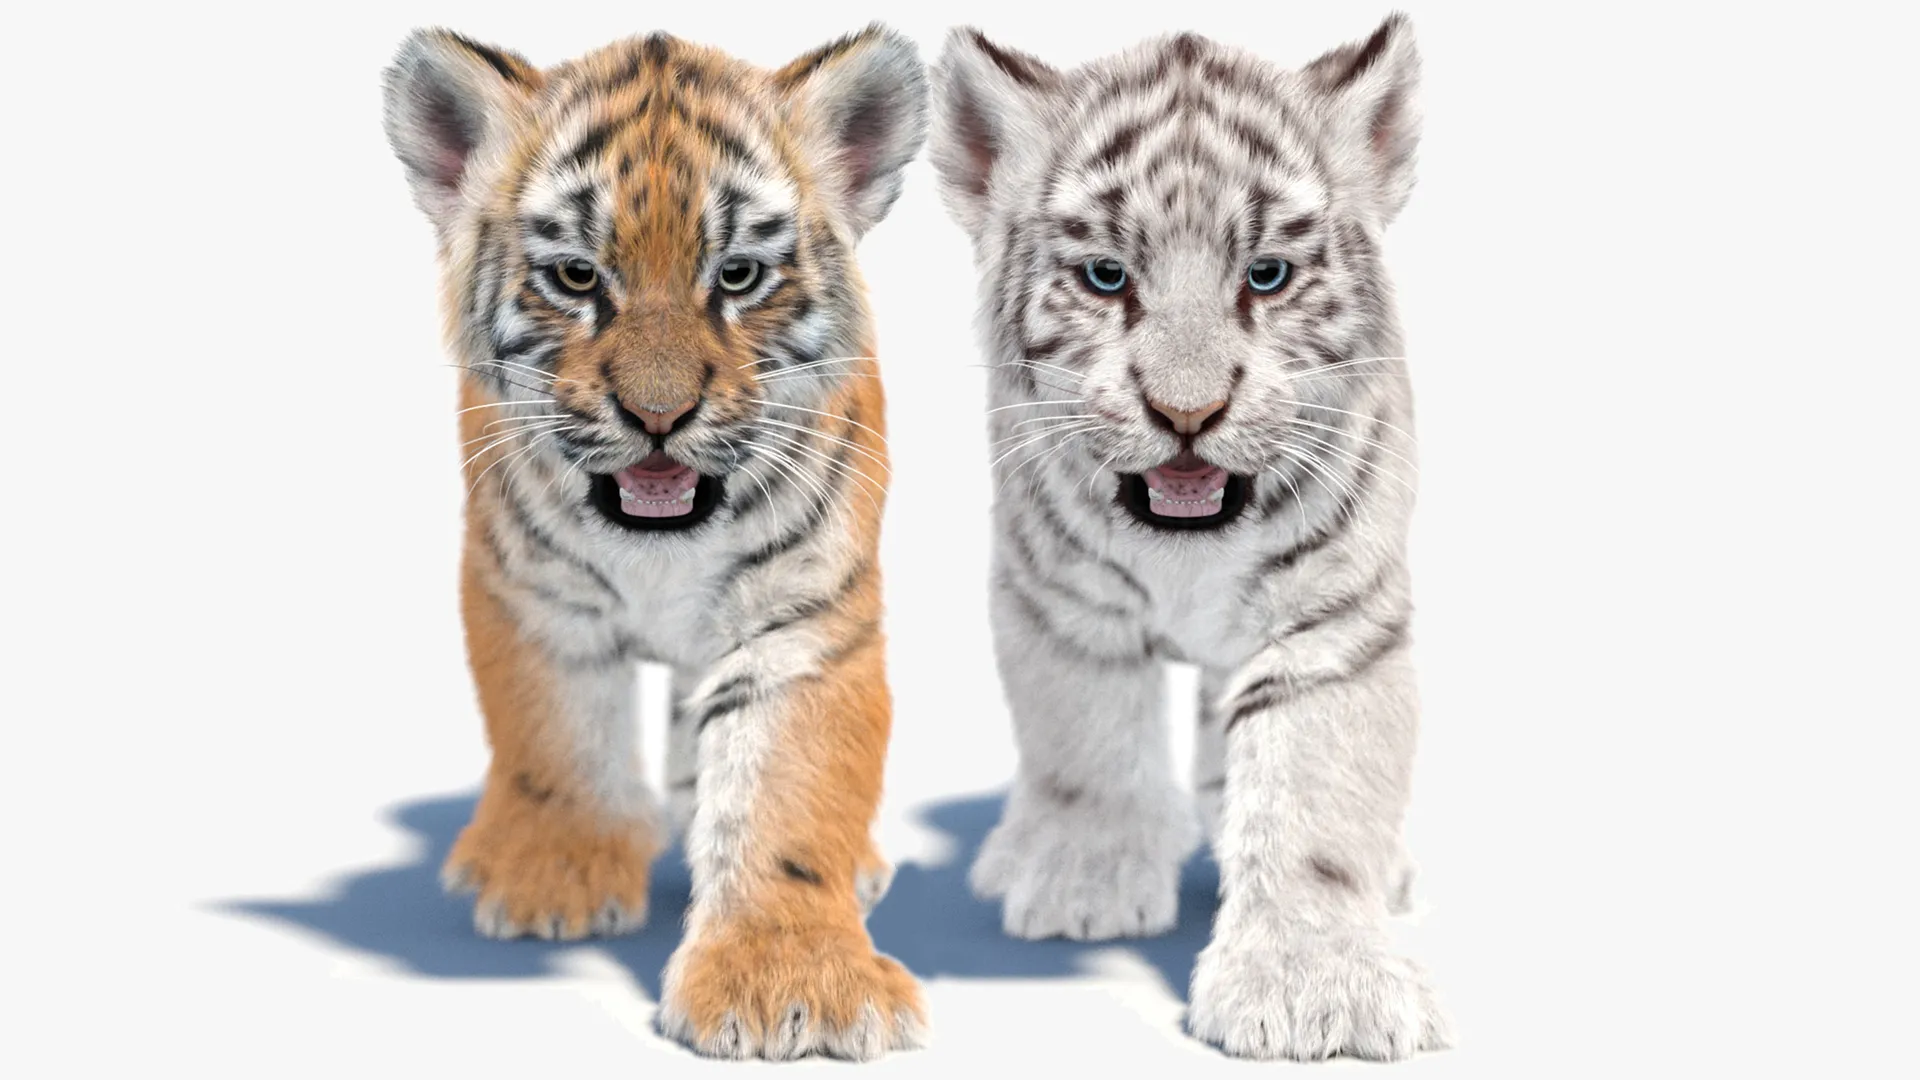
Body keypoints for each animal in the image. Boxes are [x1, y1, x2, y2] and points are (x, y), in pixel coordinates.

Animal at [381, 24, 928, 1060]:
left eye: (739, 275)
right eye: (577, 276)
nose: (659, 417)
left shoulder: (800, 628)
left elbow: (787, 796)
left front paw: (788, 985)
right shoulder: (533, 596)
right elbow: (555, 736)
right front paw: (552, 879)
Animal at [926, 15, 1453, 1061]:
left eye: (1266, 276)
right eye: (1107, 278)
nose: (1186, 414)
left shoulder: (1330, 629)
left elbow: (1316, 798)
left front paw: (1315, 985)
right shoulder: (1061, 602)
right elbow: (1083, 740)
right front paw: (1084, 881)